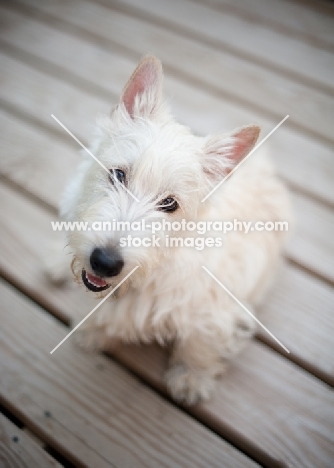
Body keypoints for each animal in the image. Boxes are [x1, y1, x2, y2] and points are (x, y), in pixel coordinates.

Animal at [58, 56, 290, 404]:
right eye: (118, 174)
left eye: (169, 204)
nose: (105, 262)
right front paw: (94, 332)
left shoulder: (217, 307)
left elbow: (199, 343)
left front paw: (192, 379)